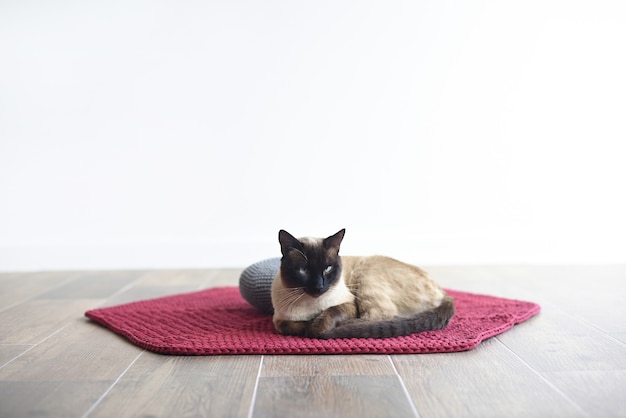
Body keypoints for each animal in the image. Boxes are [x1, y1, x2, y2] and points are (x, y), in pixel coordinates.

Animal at [270, 229, 454, 340]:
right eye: (304, 270)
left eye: (327, 268)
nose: (318, 286)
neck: (312, 306)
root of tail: (442, 291)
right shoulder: (279, 320)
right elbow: (290, 326)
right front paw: (307, 325)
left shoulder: (349, 304)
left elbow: (326, 316)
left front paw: (314, 327)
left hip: (365, 273)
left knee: (381, 316)